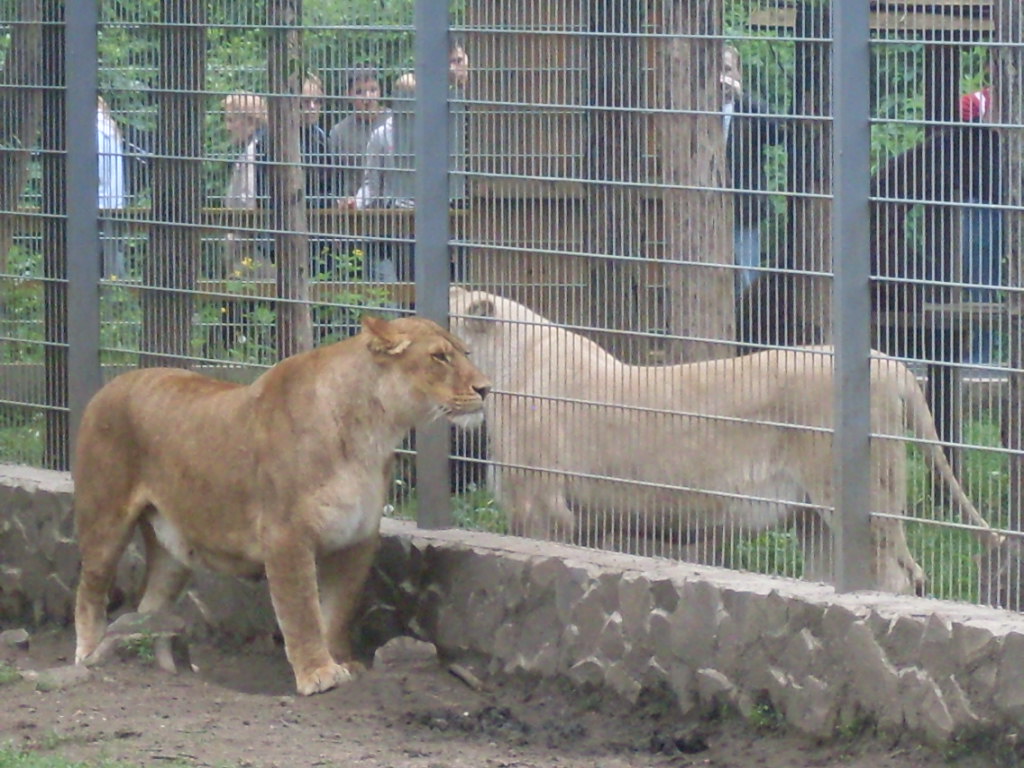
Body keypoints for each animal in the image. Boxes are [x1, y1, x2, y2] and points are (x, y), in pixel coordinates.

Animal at [73, 315, 490, 695]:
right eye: (439, 356)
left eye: (465, 352)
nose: (486, 388)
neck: (372, 432)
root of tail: (109, 385)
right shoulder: (287, 535)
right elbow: (302, 609)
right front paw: (318, 673)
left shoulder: (357, 539)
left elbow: (338, 610)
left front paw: (342, 662)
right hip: (105, 520)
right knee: (89, 592)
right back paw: (89, 656)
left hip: (173, 550)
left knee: (150, 606)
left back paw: (160, 666)